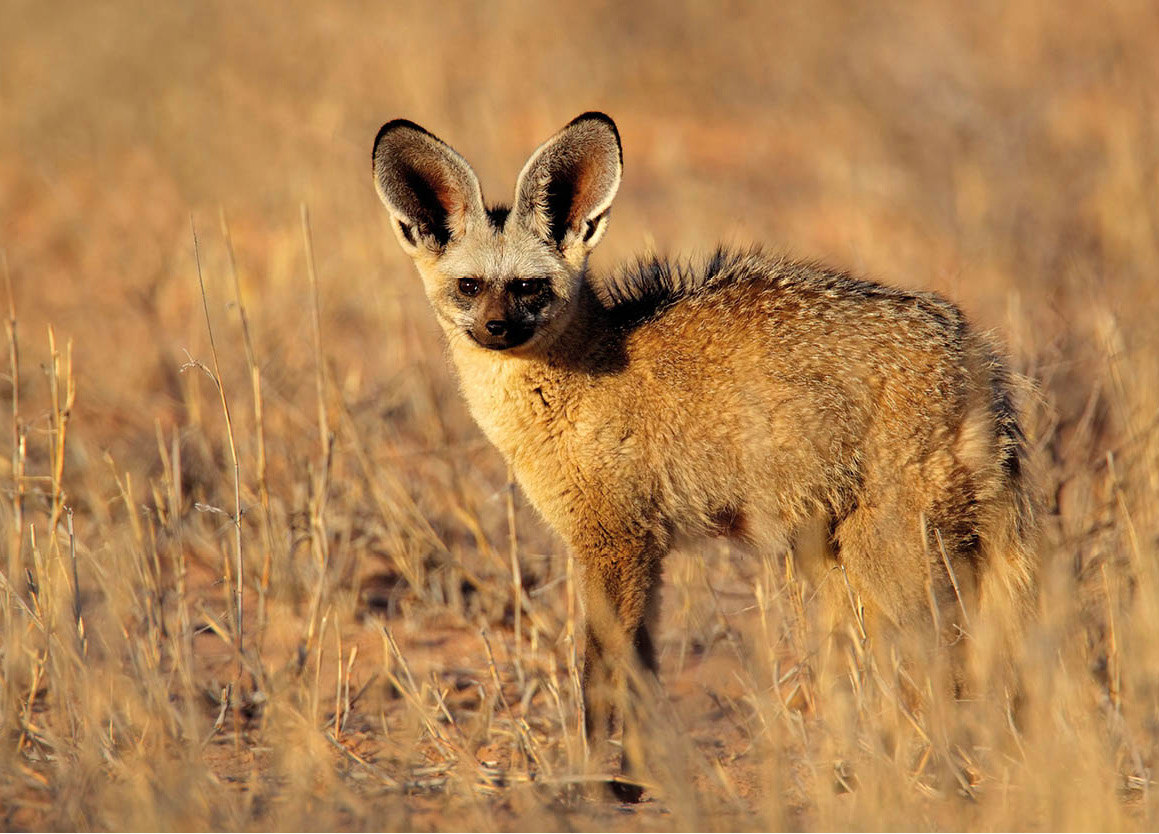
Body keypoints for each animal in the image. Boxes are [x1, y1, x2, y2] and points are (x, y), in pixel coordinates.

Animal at [373, 110, 1043, 801]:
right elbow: (640, 676)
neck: (575, 384)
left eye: (529, 288)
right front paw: (642, 777)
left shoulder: (615, 545)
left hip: (891, 562)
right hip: (848, 567)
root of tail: (974, 352)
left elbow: (599, 677)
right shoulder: (643, 553)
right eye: (469, 286)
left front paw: (587, 780)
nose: (497, 330)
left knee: (949, 668)